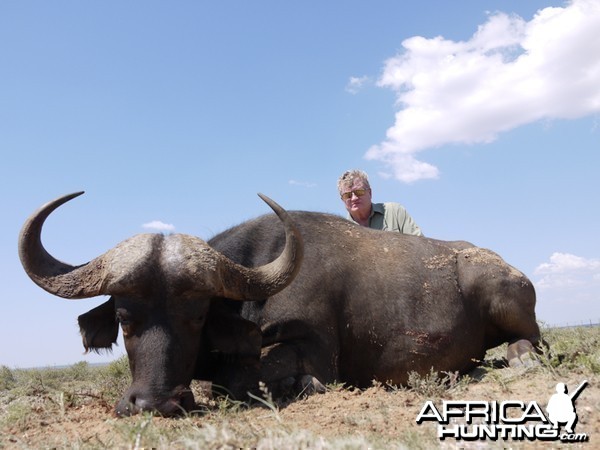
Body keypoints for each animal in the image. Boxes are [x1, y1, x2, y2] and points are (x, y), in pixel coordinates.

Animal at [19, 192, 544, 416]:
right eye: (125, 317)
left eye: (198, 315)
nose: (154, 403)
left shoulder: (314, 353)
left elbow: (248, 380)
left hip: (504, 297)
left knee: (532, 341)